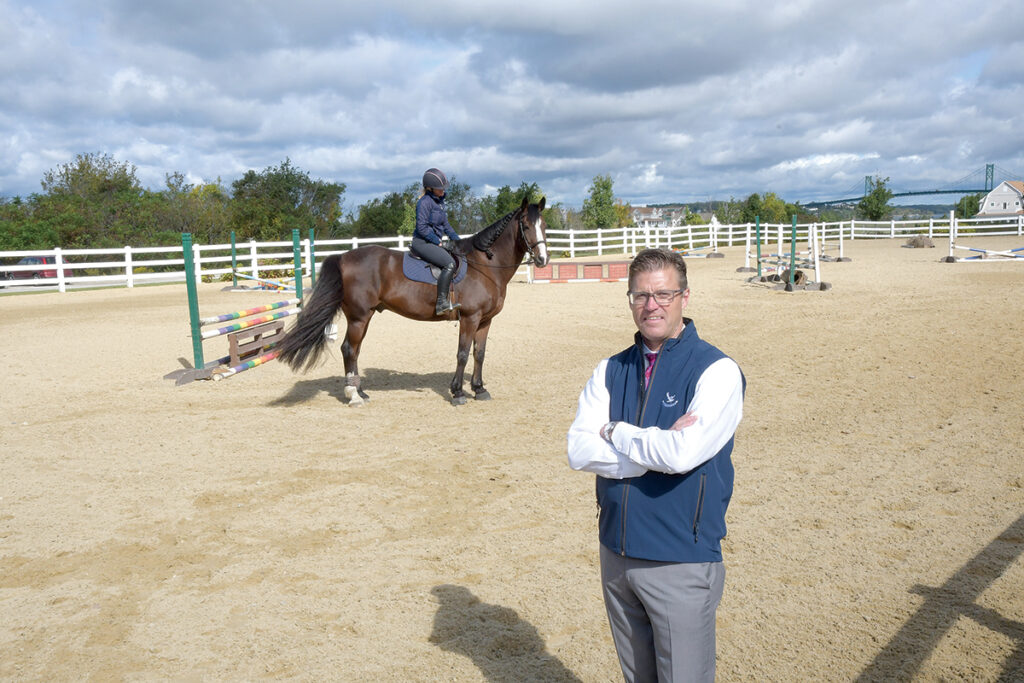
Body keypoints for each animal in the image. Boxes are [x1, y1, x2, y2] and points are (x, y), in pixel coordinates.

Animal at [276, 194, 548, 403]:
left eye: (544, 226)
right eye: (525, 225)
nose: (543, 259)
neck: (485, 266)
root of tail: (343, 257)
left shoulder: (485, 320)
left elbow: (479, 354)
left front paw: (479, 389)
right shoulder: (470, 318)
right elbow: (461, 353)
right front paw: (458, 393)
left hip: (365, 316)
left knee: (354, 350)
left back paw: (360, 391)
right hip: (358, 317)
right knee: (349, 349)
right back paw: (353, 394)